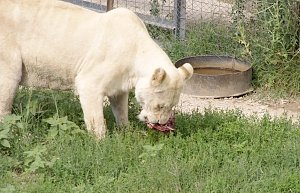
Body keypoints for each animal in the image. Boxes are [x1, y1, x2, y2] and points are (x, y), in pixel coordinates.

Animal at [0, 0, 192, 139]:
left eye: (172, 106)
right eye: (160, 106)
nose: (160, 123)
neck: (136, 46)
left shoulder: (121, 79)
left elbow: (120, 104)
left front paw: (126, 130)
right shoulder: (96, 70)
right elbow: (92, 101)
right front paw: (101, 141)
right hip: (8, 51)